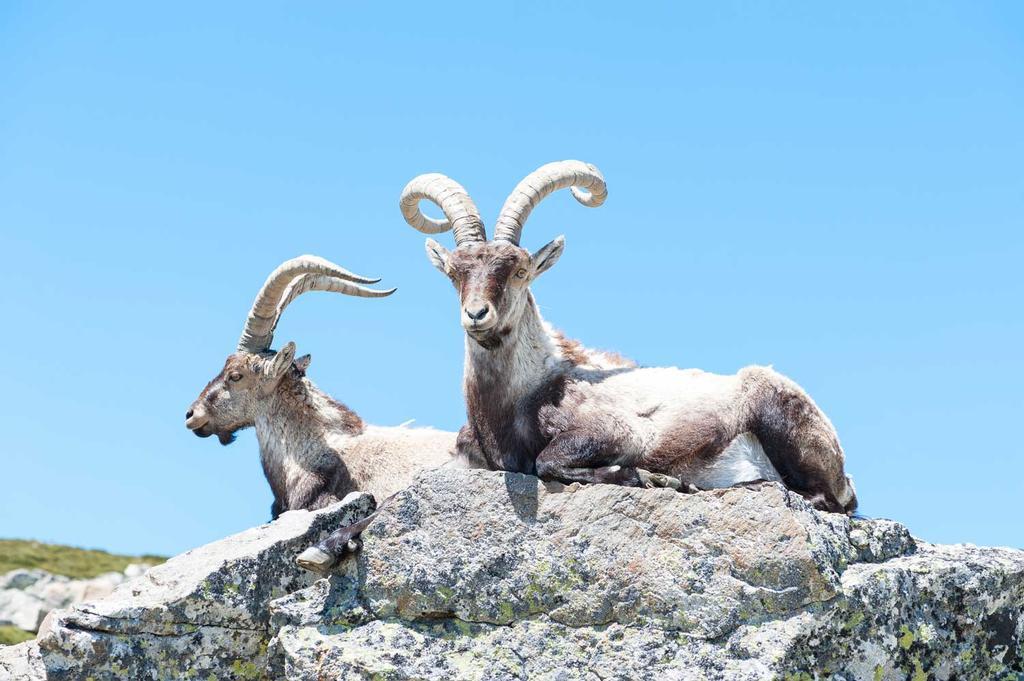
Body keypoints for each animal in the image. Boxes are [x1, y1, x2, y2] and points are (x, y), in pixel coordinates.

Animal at [396, 161, 857, 514]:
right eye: (454, 273)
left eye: (520, 271)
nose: (477, 314)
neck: (522, 394)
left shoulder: (616, 432)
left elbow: (547, 461)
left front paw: (650, 477)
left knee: (822, 499)